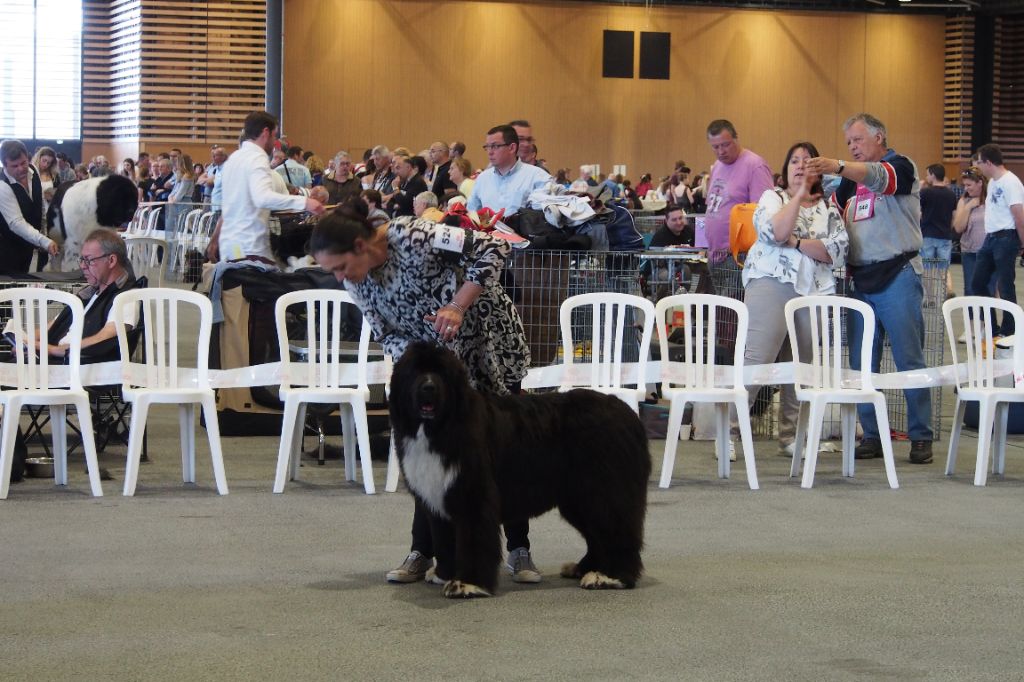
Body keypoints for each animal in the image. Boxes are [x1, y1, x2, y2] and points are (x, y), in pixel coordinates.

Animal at [387, 339, 651, 593]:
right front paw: (445, 574)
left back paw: (611, 577)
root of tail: (629, 415)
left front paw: (468, 583)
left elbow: (473, 540)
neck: (440, 428)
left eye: (441, 373)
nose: (428, 387)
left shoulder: (473, 495)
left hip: (604, 491)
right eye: (415, 372)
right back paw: (583, 568)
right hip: (579, 498)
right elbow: (444, 542)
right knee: (598, 535)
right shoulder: (437, 500)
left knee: (618, 532)